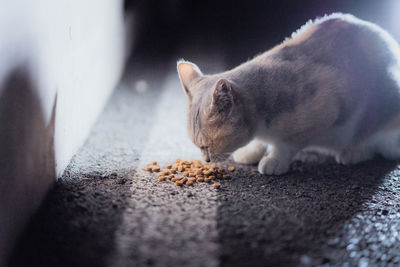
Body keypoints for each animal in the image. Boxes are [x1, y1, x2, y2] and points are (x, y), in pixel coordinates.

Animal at [177, 13, 400, 176]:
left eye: (206, 146)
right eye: (198, 146)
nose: (205, 160)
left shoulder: (324, 108)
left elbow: (286, 142)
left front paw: (275, 159)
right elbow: (261, 142)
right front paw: (251, 151)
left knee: (376, 144)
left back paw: (353, 152)